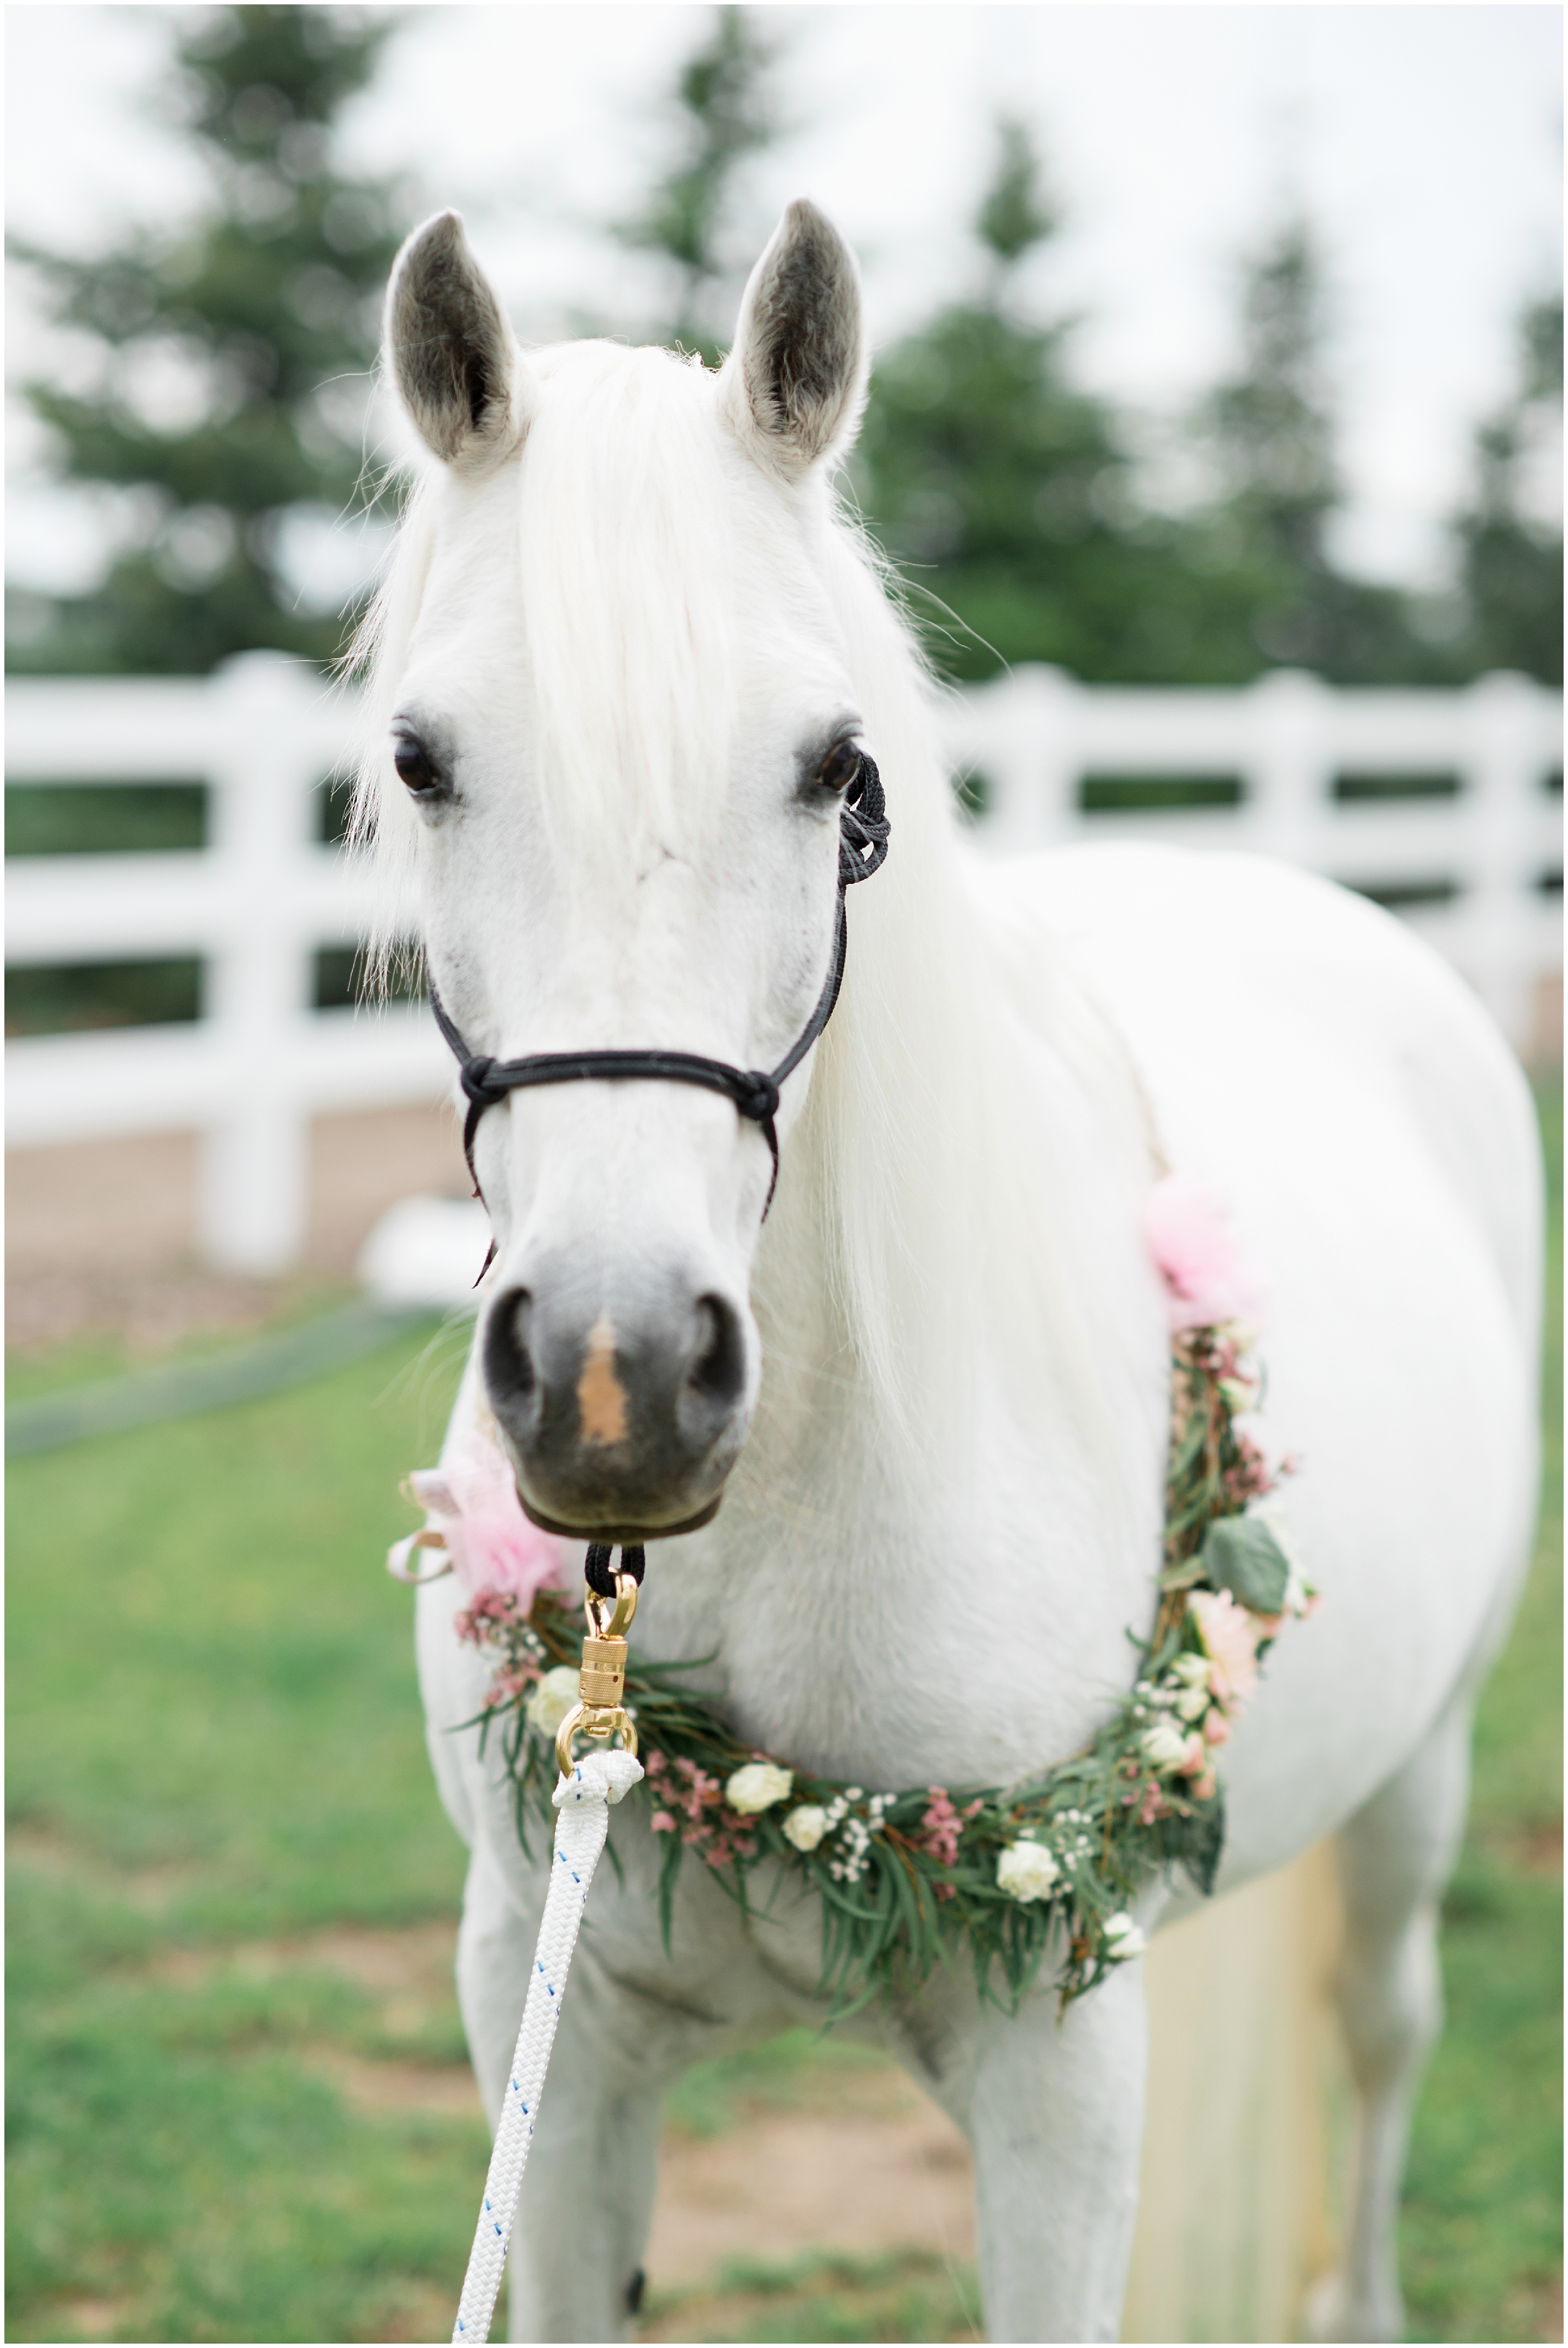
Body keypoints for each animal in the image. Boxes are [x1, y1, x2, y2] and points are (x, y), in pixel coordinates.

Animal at [359, 206, 1540, 2348]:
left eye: (836, 768)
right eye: (421, 757)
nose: (613, 1378)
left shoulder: (1059, 2070)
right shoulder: (549, 2033)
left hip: (1415, 1789)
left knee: (1381, 2045)